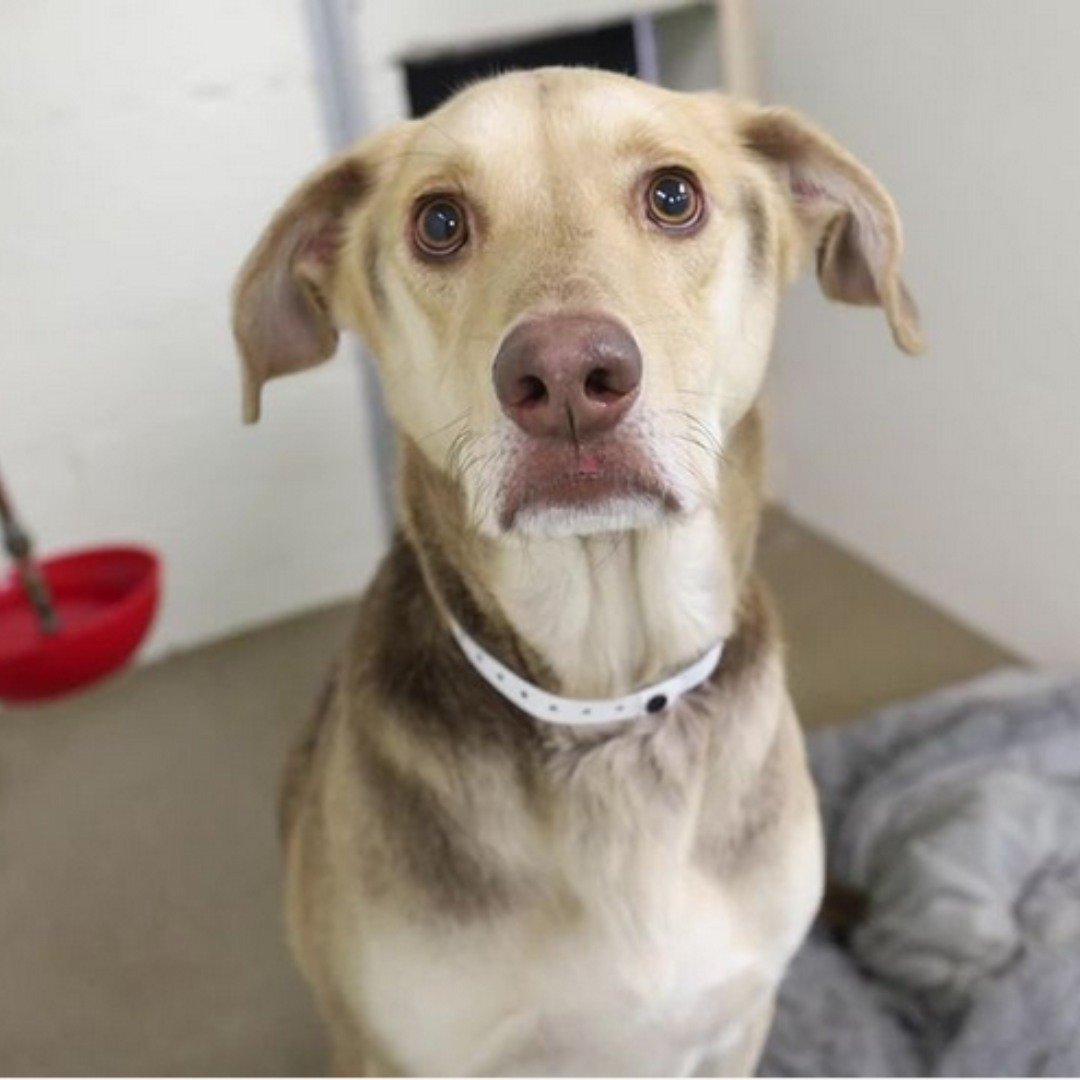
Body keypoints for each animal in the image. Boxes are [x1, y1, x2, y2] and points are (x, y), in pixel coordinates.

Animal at [230, 65, 920, 1071]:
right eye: (439, 221)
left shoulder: (739, 1020)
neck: (610, 707)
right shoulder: (394, 1053)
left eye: (673, 196)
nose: (563, 377)